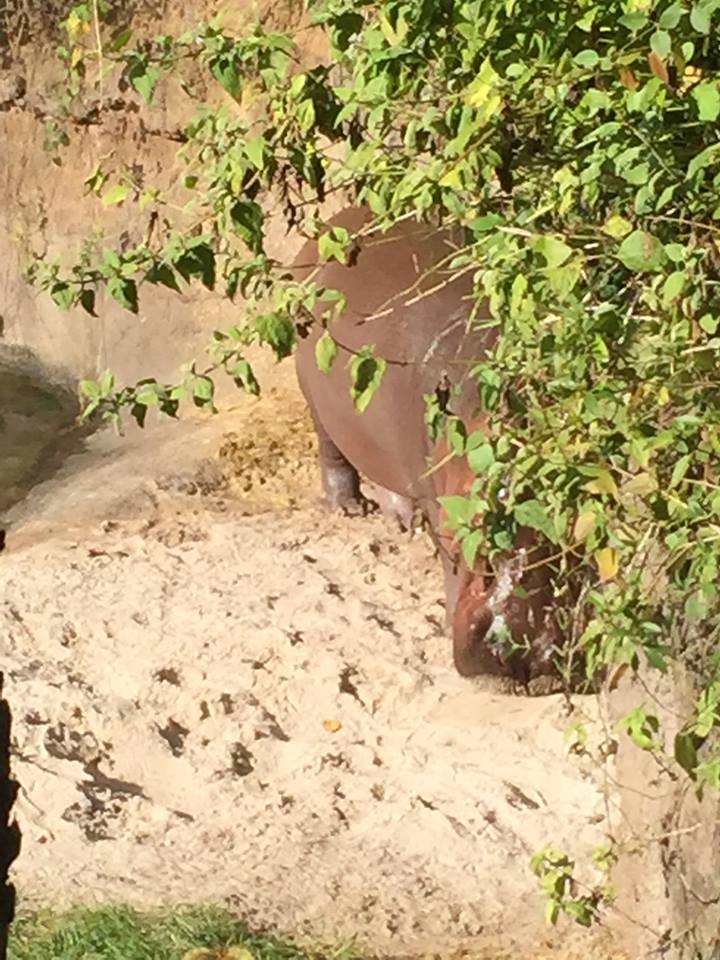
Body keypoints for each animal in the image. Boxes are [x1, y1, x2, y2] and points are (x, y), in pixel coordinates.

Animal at [293, 207, 559, 679]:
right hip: (317, 404)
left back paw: (400, 520)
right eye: (481, 548)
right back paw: (350, 508)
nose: (517, 654)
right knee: (333, 455)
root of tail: (328, 224)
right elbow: (449, 561)